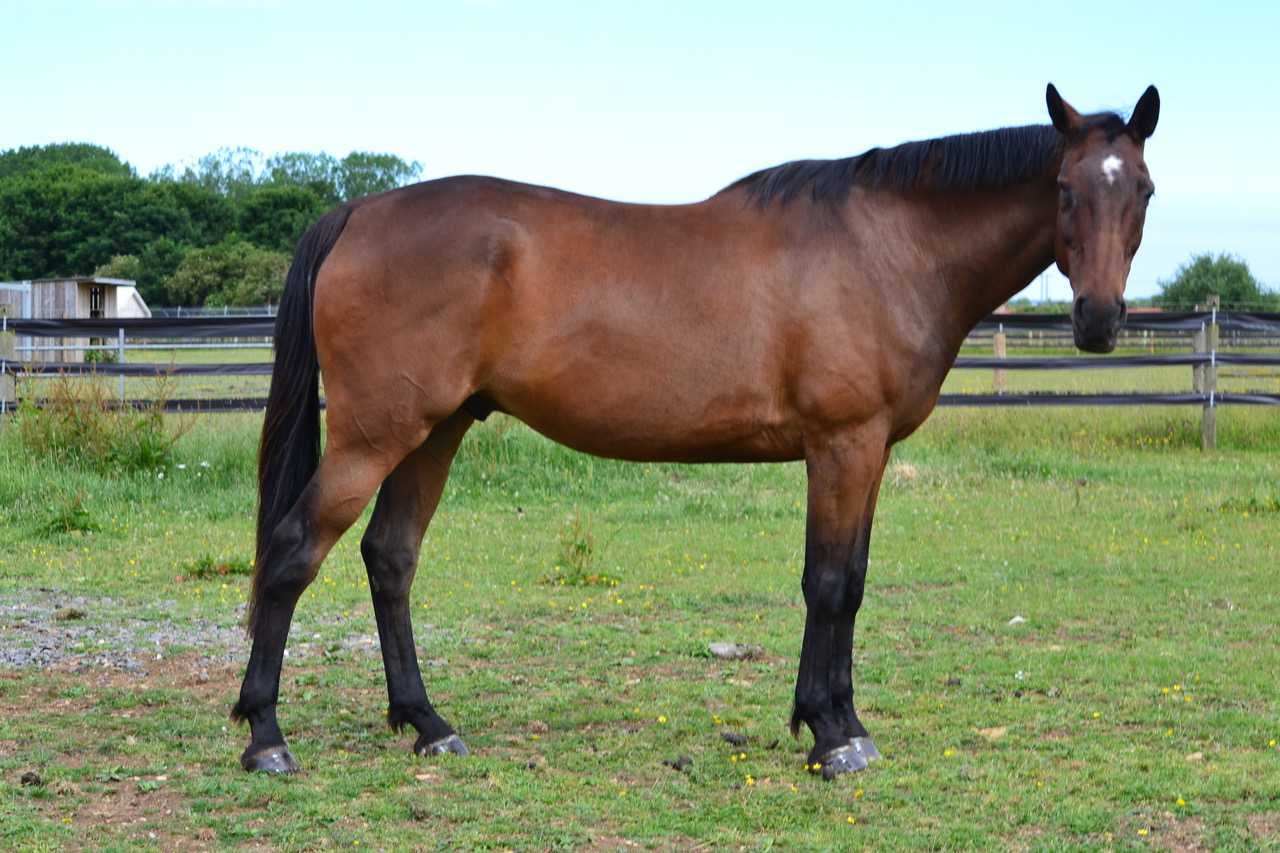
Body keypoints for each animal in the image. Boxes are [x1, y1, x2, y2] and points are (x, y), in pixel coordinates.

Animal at [230, 83, 1162, 773]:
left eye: (1144, 191)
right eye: (1066, 188)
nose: (1099, 321)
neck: (887, 246)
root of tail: (360, 211)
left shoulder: (867, 453)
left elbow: (853, 582)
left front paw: (840, 719)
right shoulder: (842, 444)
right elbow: (829, 583)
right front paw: (832, 736)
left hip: (433, 431)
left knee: (390, 559)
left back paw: (428, 722)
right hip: (374, 436)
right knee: (292, 552)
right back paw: (266, 737)